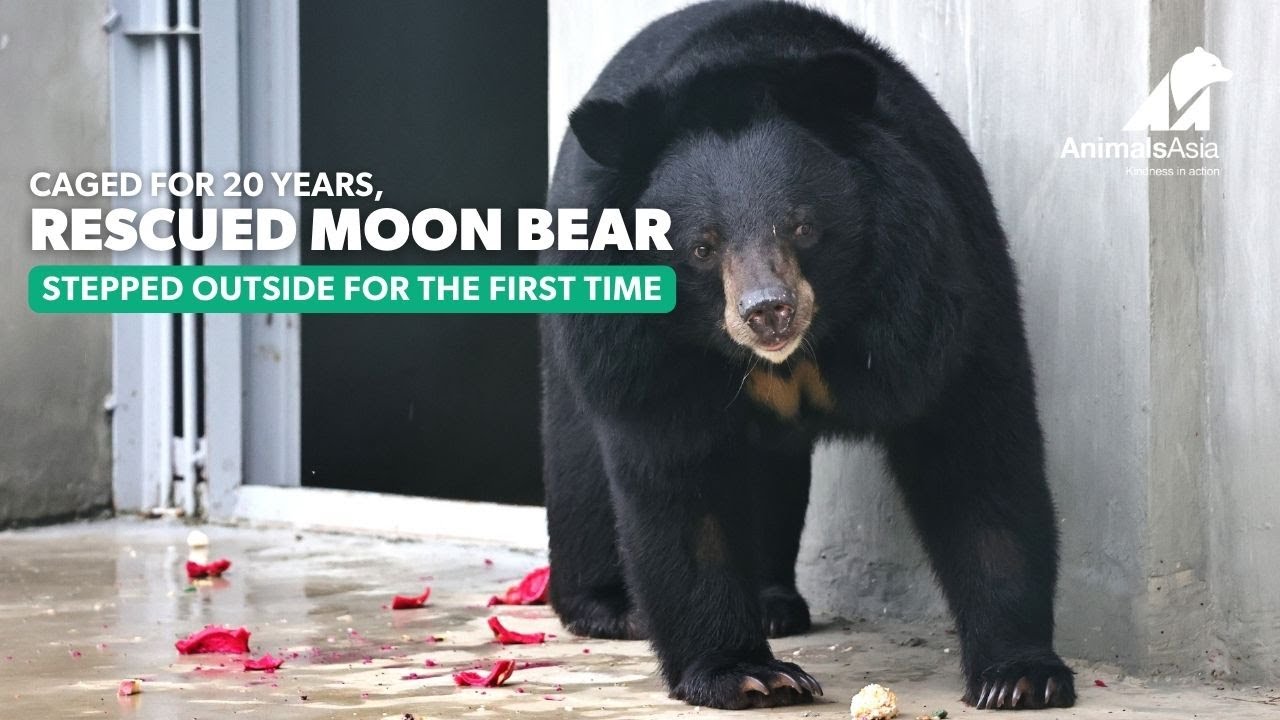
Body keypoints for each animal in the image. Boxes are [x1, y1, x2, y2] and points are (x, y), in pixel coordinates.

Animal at [540, 0, 1076, 711]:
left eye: (801, 226)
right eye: (702, 246)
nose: (768, 311)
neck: (796, 354)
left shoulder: (937, 295)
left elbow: (976, 452)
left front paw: (1020, 676)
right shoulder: (647, 353)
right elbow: (682, 483)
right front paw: (750, 673)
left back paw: (774, 603)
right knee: (576, 448)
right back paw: (609, 608)